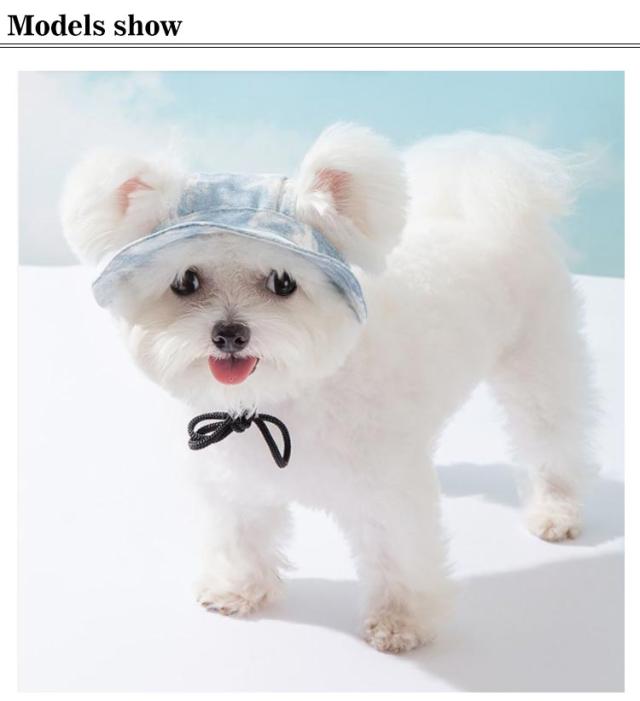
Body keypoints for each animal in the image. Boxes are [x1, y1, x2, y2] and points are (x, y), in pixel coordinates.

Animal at [61, 124, 596, 653]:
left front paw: (399, 622)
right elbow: (240, 536)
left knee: (549, 438)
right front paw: (236, 588)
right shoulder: (238, 483)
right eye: (186, 281)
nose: (230, 333)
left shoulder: (388, 494)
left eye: (283, 282)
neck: (291, 394)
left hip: (539, 364)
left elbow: (397, 557)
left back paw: (554, 509)